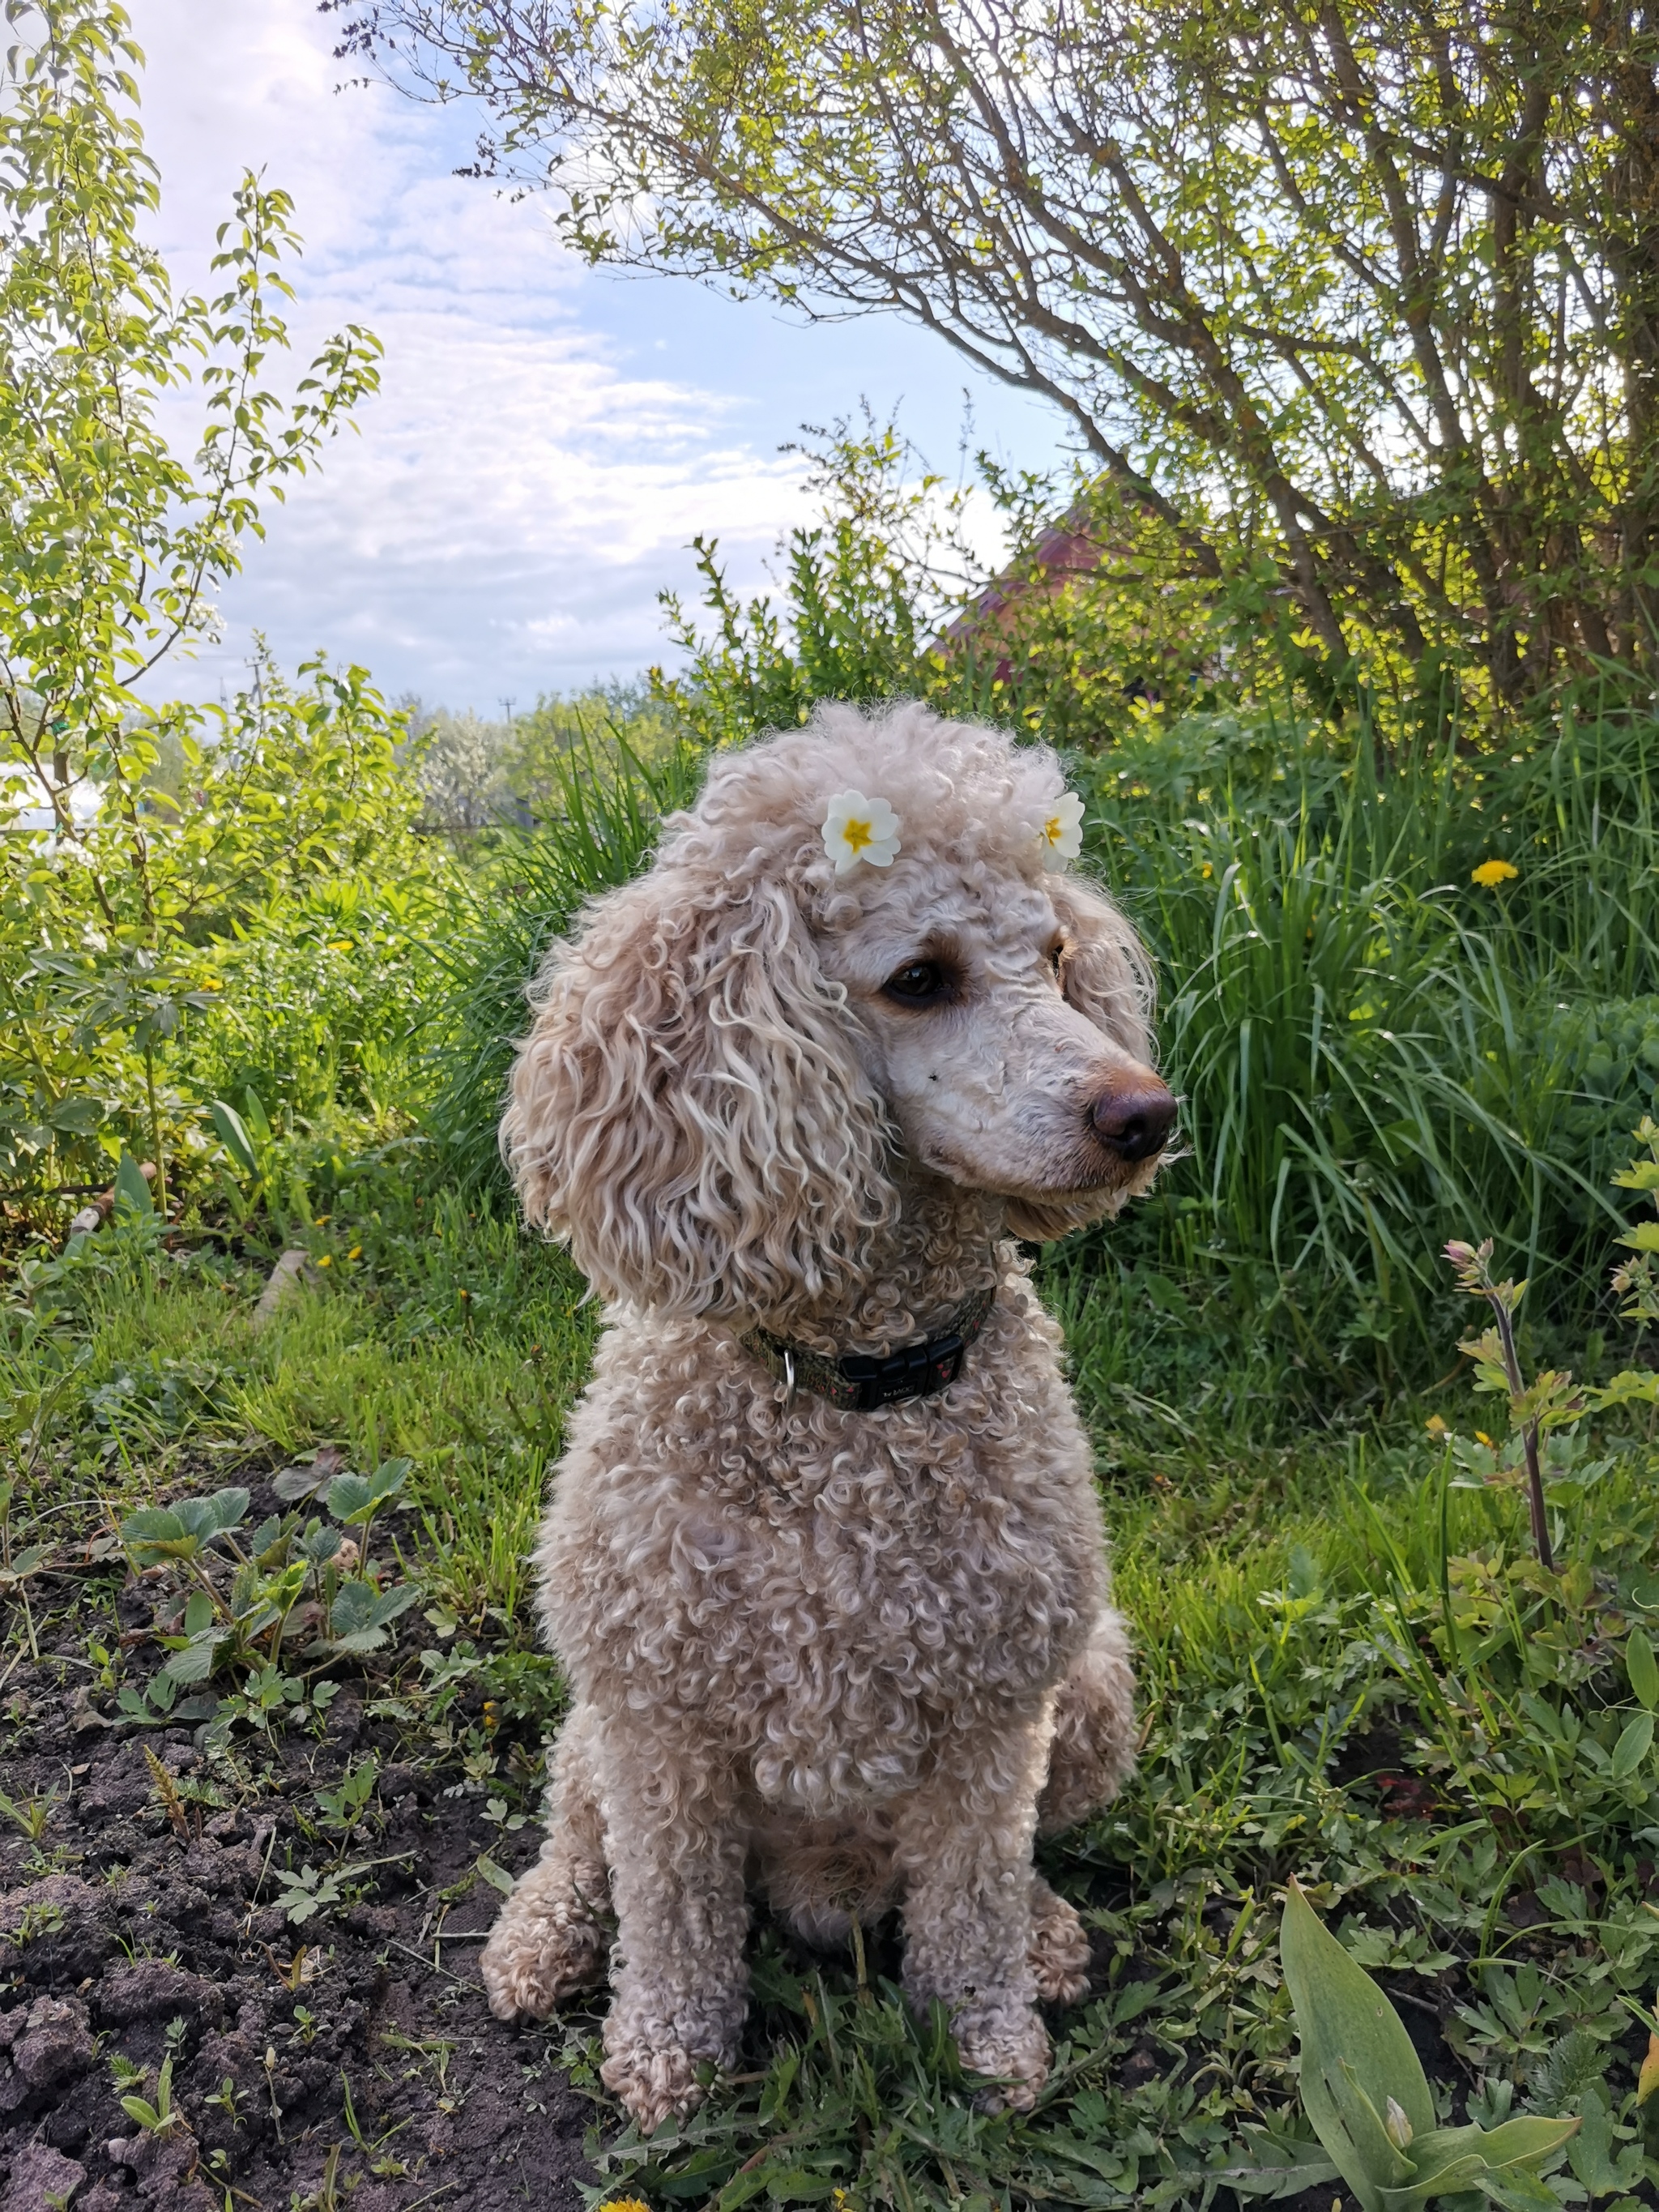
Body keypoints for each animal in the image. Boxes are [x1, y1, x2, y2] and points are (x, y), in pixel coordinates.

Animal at [480, 698, 1185, 2132]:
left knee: (994, 1865)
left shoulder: (993, 1711)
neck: (854, 1402)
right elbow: (672, 1909)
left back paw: (1046, 1930)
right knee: (579, 1844)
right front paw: (669, 2053)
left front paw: (987, 2035)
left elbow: (968, 1894)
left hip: (1089, 1681)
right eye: (919, 976)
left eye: (1058, 957)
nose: (1146, 1113)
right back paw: (540, 1937)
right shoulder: (658, 1715)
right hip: (593, 1726)